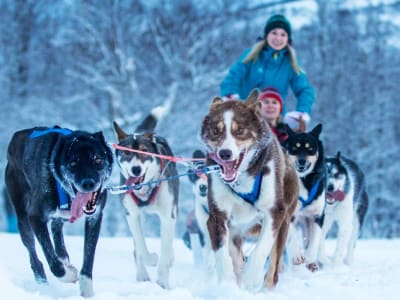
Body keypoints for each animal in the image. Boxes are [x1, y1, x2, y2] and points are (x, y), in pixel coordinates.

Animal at [4, 126, 113, 298]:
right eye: (73, 163)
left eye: (98, 160)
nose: (88, 183)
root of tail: (17, 135)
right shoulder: (35, 217)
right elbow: (52, 261)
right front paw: (68, 274)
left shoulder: (95, 218)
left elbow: (88, 258)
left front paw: (87, 290)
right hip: (23, 219)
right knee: (34, 255)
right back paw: (43, 281)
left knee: (57, 229)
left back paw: (64, 257)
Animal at [112, 105, 178, 288]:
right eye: (127, 153)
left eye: (144, 151)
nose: (136, 169)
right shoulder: (132, 215)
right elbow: (141, 245)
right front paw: (151, 260)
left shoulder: (168, 216)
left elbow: (165, 249)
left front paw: (162, 282)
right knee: (137, 248)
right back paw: (142, 275)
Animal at [200, 89, 296, 290]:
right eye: (216, 130)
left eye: (240, 130)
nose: (225, 153)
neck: (241, 180)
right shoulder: (217, 217)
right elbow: (223, 255)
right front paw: (227, 284)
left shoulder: (275, 211)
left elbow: (262, 249)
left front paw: (252, 276)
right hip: (236, 229)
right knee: (236, 256)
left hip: (284, 219)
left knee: (273, 265)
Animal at [284, 124, 324, 272]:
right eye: (295, 148)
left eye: (309, 148)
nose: (302, 160)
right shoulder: (286, 213)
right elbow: (292, 235)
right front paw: (296, 255)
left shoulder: (317, 216)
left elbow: (314, 240)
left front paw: (311, 259)